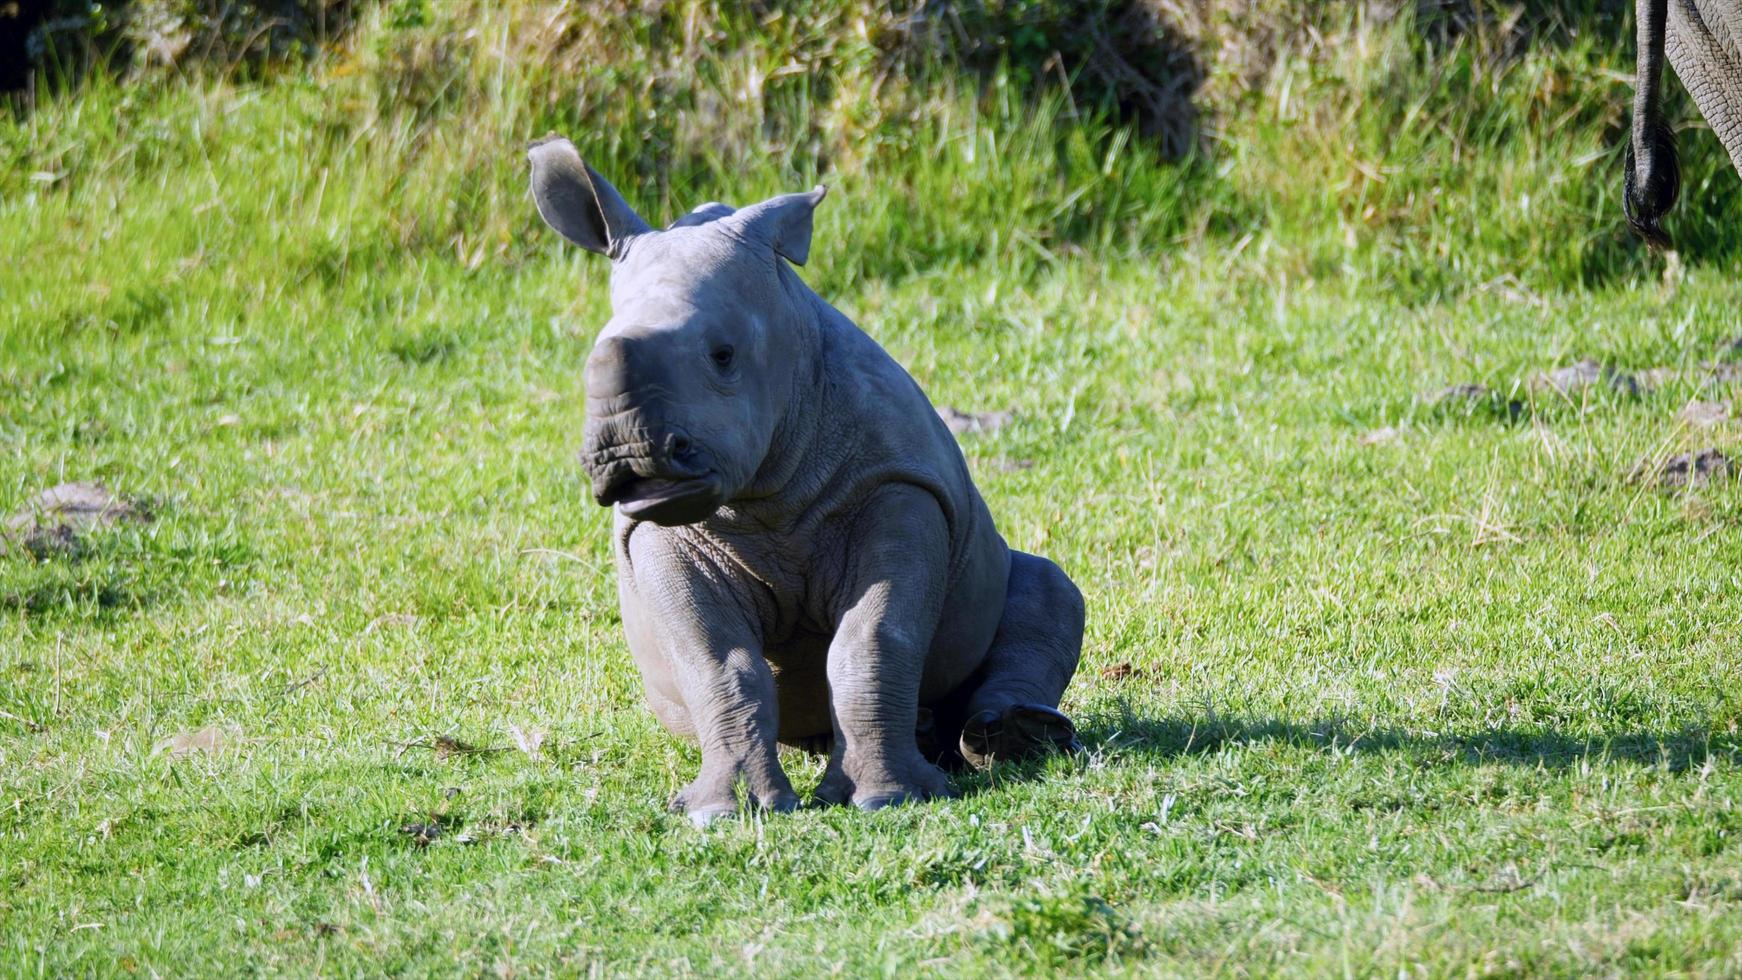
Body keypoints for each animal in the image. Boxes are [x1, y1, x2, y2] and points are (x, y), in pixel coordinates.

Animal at [522, 138, 1080, 825]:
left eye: (724, 355)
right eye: (588, 360)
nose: (628, 455)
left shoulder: (900, 487)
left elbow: (874, 639)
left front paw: (888, 799)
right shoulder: (655, 532)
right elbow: (716, 661)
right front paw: (723, 812)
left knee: (1051, 587)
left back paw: (1012, 735)